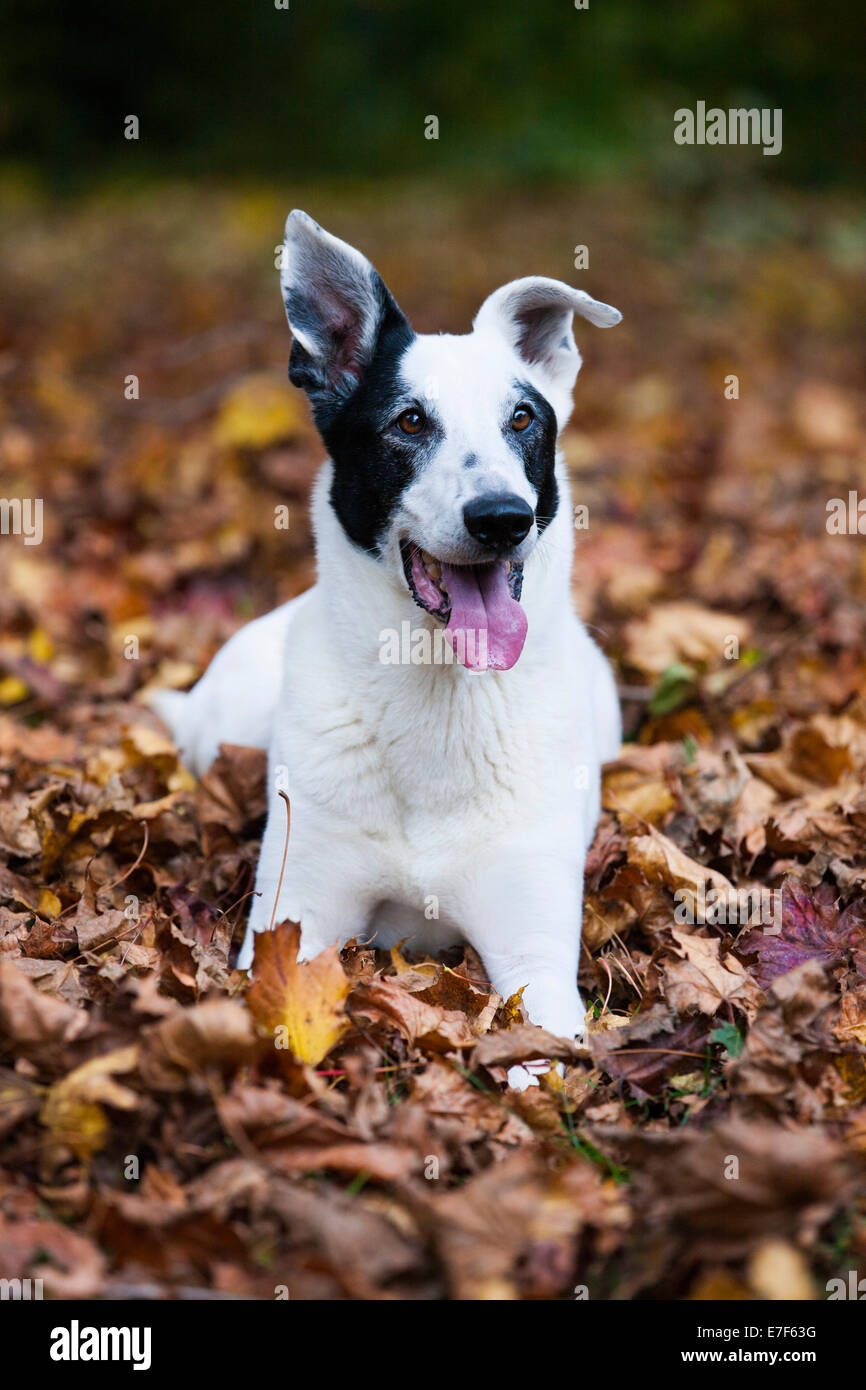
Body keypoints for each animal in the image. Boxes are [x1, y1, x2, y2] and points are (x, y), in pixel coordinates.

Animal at [150, 214, 622, 1084]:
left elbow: (544, 1050)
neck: (437, 689)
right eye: (408, 421)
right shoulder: (294, 916)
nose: (501, 517)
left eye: (523, 420)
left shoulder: (537, 956)